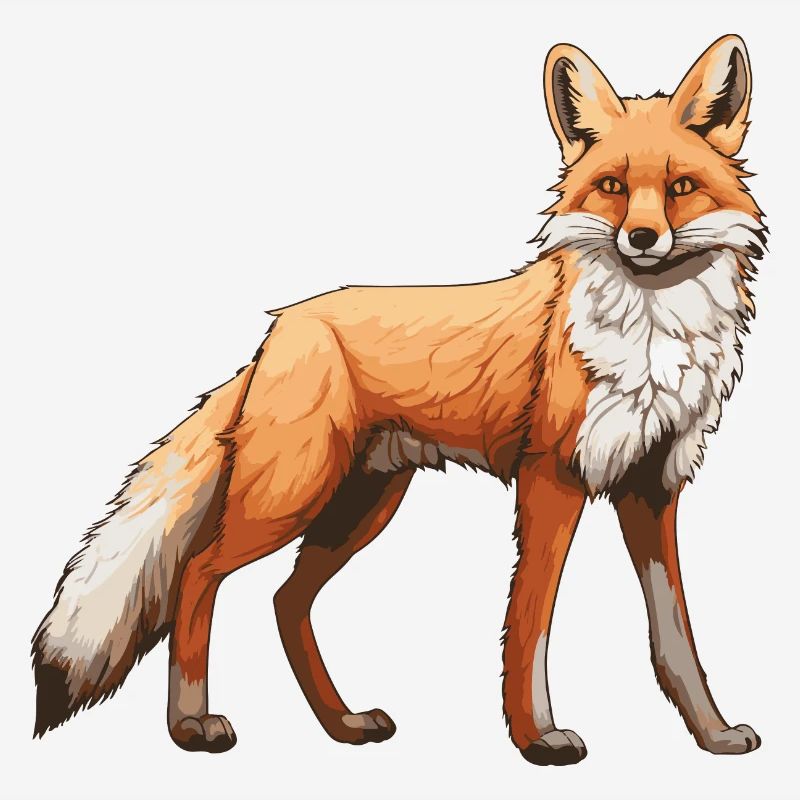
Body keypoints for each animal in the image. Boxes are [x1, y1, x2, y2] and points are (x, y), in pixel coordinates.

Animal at [33, 34, 767, 766]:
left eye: (680, 188)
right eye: (613, 187)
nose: (641, 239)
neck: (650, 337)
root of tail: (282, 325)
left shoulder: (652, 486)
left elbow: (676, 638)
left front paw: (713, 735)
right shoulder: (552, 478)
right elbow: (531, 624)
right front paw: (536, 737)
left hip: (361, 504)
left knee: (285, 600)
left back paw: (343, 723)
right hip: (289, 496)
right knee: (197, 573)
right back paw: (191, 724)